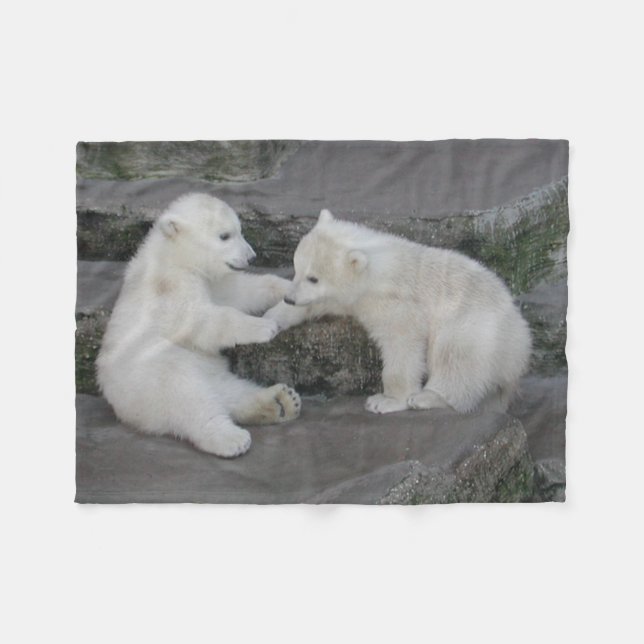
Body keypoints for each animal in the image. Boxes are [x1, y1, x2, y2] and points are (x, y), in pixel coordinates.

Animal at [96, 193, 301, 458]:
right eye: (224, 235)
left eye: (239, 230)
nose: (251, 257)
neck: (172, 254)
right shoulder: (170, 287)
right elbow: (200, 320)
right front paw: (265, 326)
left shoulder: (210, 280)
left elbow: (239, 293)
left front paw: (290, 287)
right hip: (153, 374)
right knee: (189, 398)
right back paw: (231, 438)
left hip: (208, 369)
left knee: (230, 391)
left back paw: (282, 402)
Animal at [264, 209, 532, 415]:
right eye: (297, 268)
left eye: (313, 278)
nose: (289, 297)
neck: (377, 265)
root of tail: (522, 338)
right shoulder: (352, 297)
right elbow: (322, 302)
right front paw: (271, 318)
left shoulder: (395, 301)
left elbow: (402, 343)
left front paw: (386, 401)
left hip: (476, 326)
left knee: (456, 356)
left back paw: (428, 397)